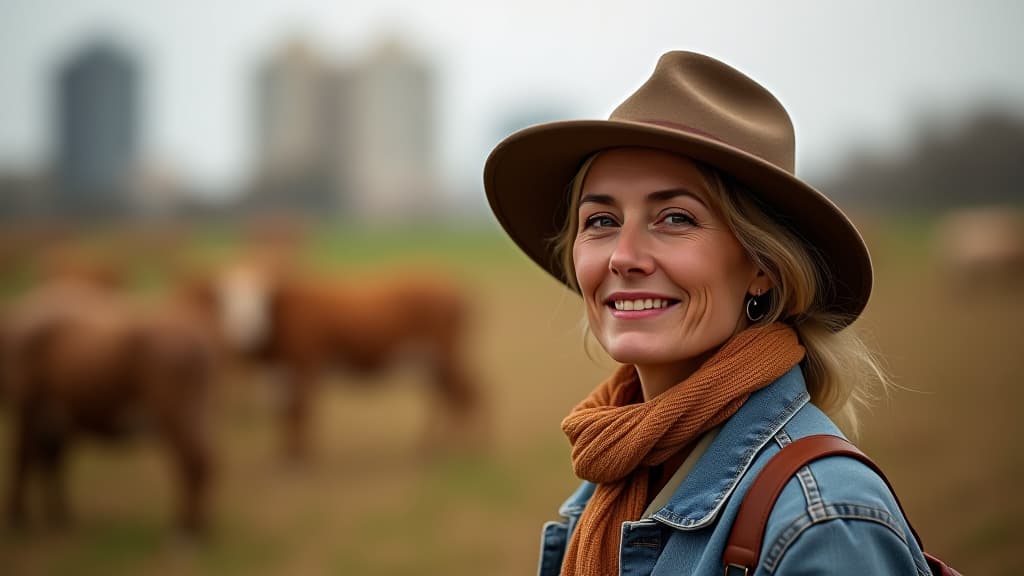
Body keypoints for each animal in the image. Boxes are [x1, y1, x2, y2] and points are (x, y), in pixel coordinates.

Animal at [1, 280, 214, 532]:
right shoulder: (51, 420)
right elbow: (50, 463)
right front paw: (57, 515)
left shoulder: (31, 411)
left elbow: (25, 461)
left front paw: (21, 516)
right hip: (195, 412)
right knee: (203, 461)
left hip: (175, 413)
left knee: (191, 462)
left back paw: (187, 529)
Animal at [196, 262, 483, 459]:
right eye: (225, 302)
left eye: (264, 298)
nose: (245, 330)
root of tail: (456, 287)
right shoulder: (281, 373)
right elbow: (285, 414)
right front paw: (285, 455)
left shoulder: (305, 365)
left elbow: (301, 411)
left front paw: (301, 458)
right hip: (433, 361)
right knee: (449, 396)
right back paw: (435, 445)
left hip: (445, 355)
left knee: (466, 394)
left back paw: (463, 446)